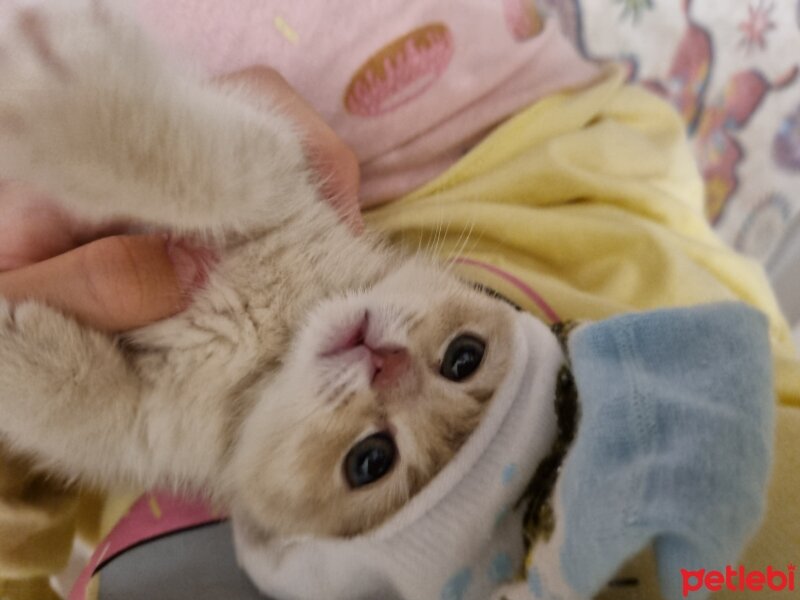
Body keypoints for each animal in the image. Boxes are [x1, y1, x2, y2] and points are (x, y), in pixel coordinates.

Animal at [0, 1, 520, 540]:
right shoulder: (280, 167)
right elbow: (217, 175)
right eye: (464, 357)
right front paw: (69, 100)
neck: (277, 340)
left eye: (371, 460)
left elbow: (81, 410)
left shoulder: (154, 423)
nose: (386, 363)